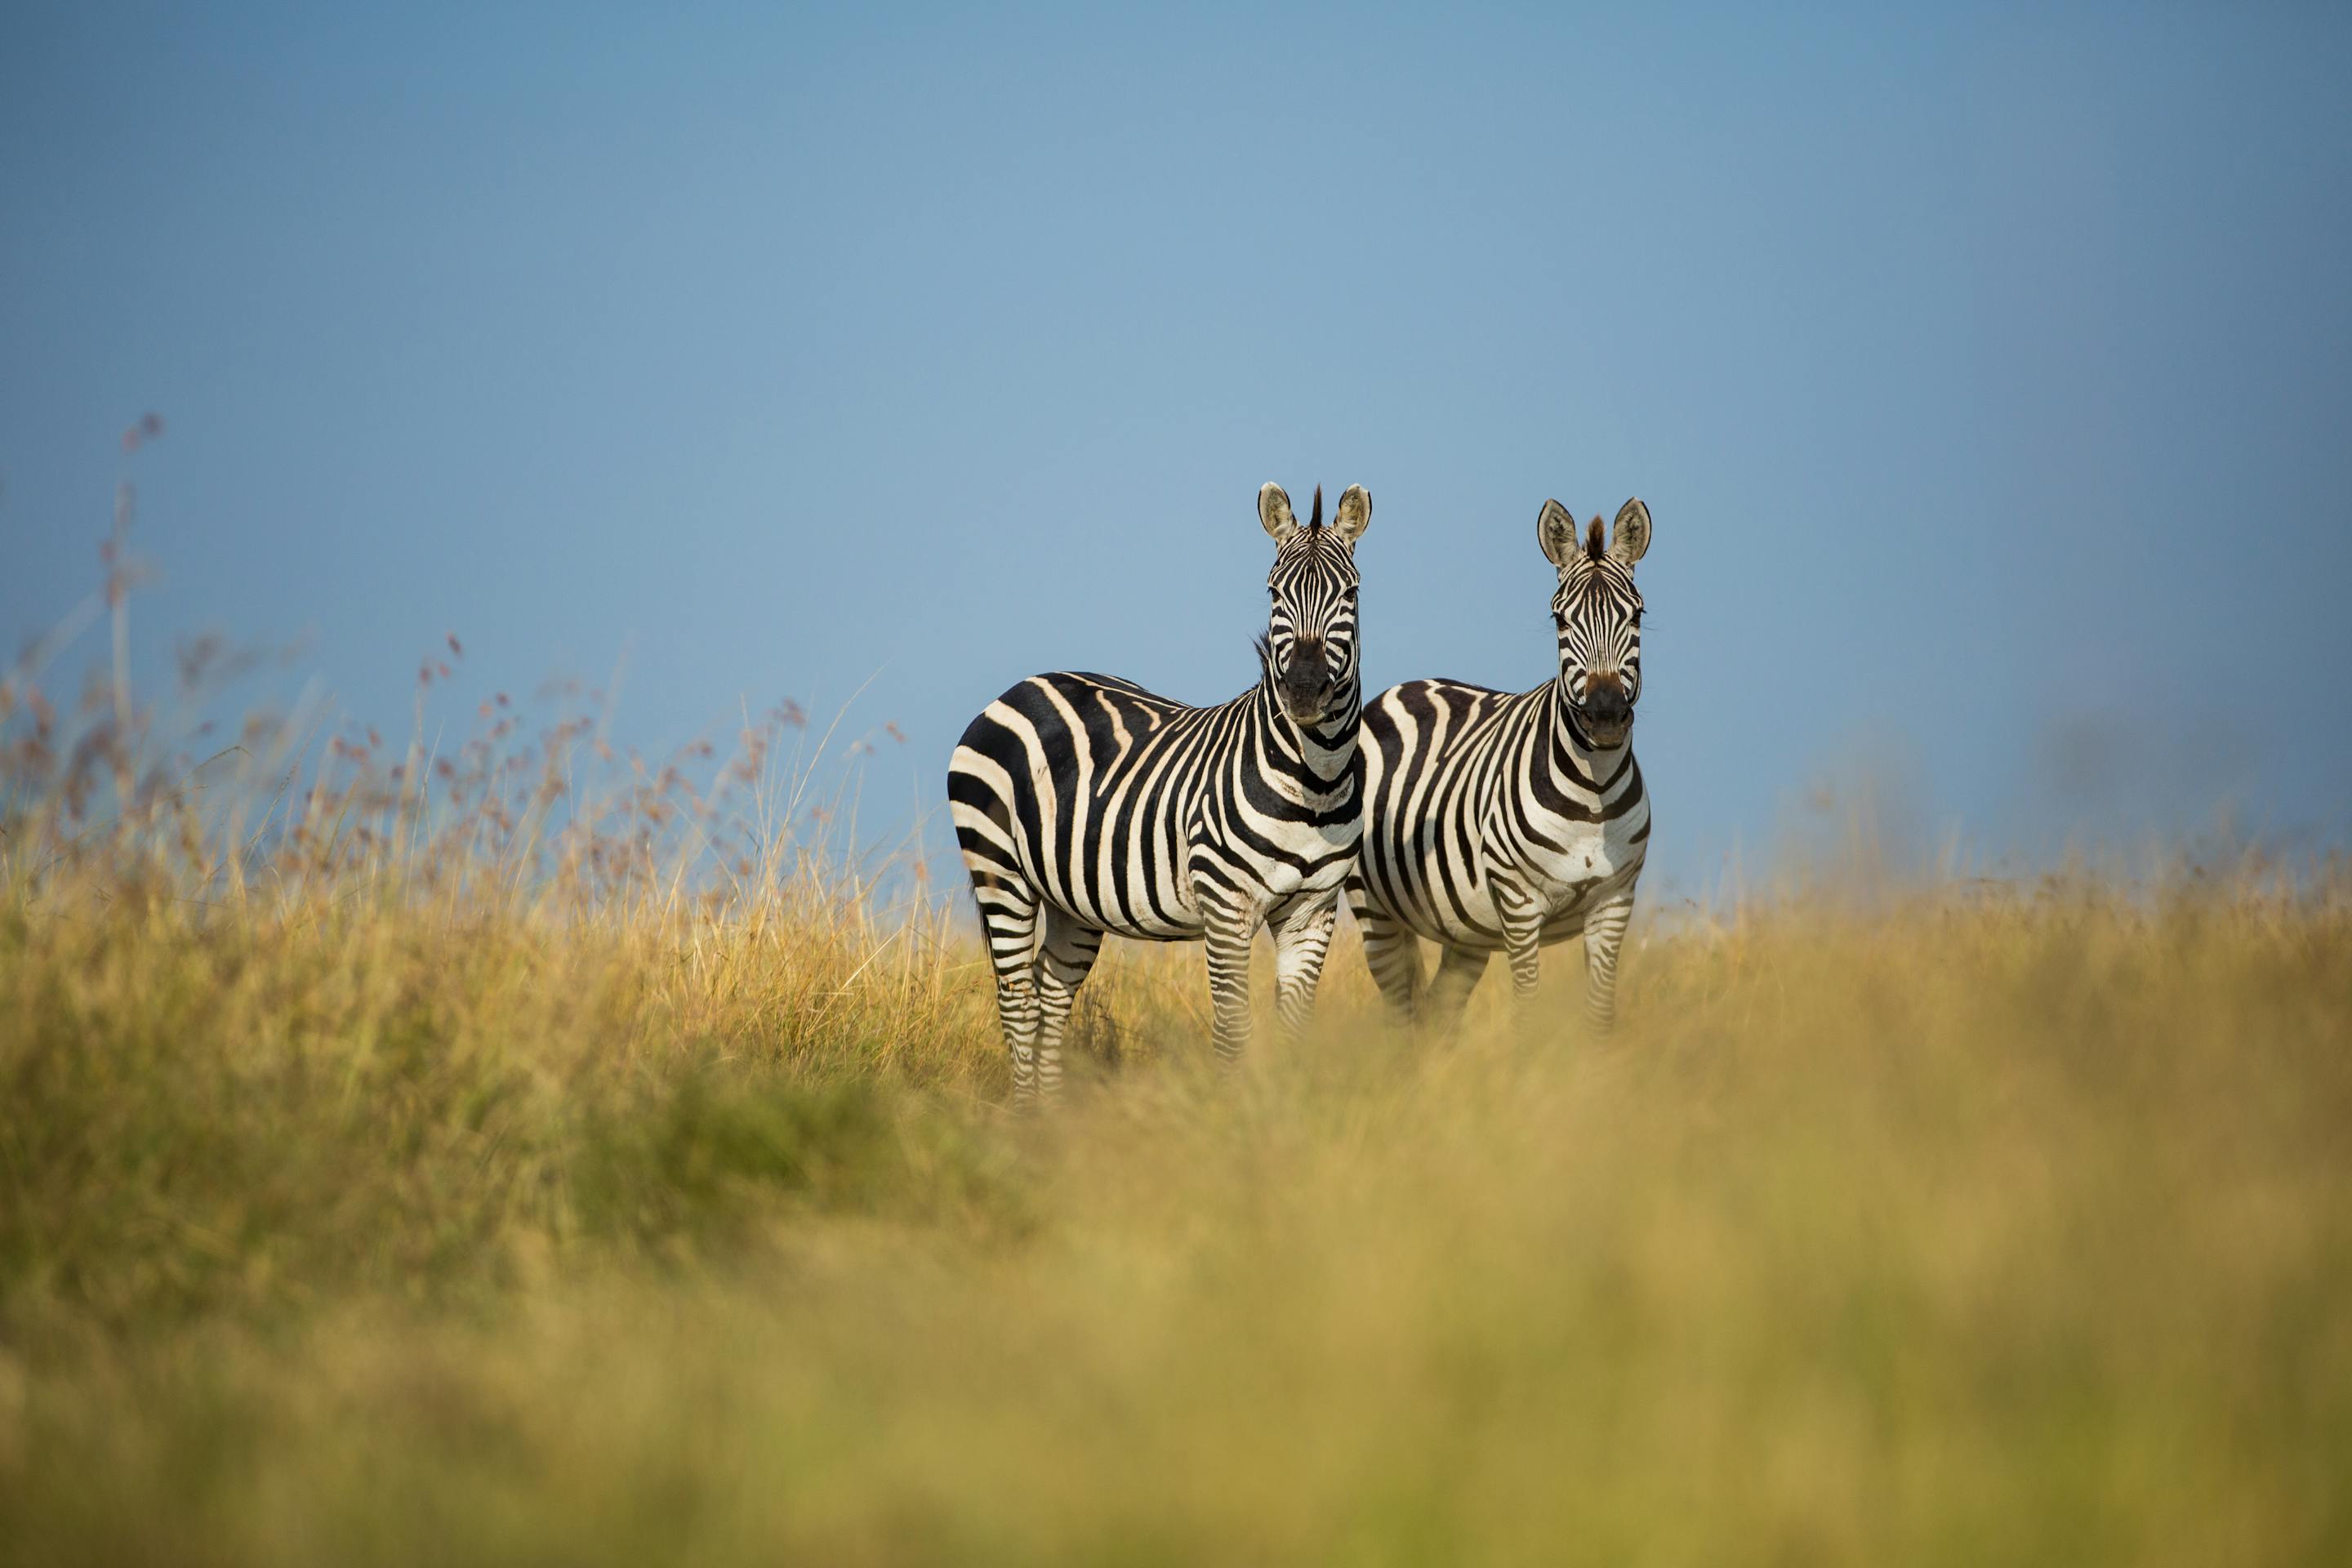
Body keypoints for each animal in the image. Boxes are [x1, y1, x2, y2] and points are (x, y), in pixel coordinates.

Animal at [948, 482, 1372, 1108]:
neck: (1314, 781)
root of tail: (1021, 686)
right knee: (1017, 1001)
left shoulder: (1312, 913)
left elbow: (1295, 1031)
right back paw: (1026, 1115)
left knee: (1050, 991)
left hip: (1071, 897)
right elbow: (1233, 1031)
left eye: (1350, 593)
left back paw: (1051, 1116)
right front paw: (1236, 1120)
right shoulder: (1226, 905)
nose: (1303, 691)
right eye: (1274, 593)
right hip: (1000, 871)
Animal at [1347, 496, 1652, 1032]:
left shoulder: (1615, 902)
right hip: (1376, 912)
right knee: (1403, 1016)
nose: (1605, 716)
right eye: (1560, 621)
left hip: (1464, 928)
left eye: (1636, 616)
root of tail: (1404, 687)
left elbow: (1599, 1015)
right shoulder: (1519, 901)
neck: (1593, 795)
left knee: (1437, 1013)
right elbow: (1528, 1008)